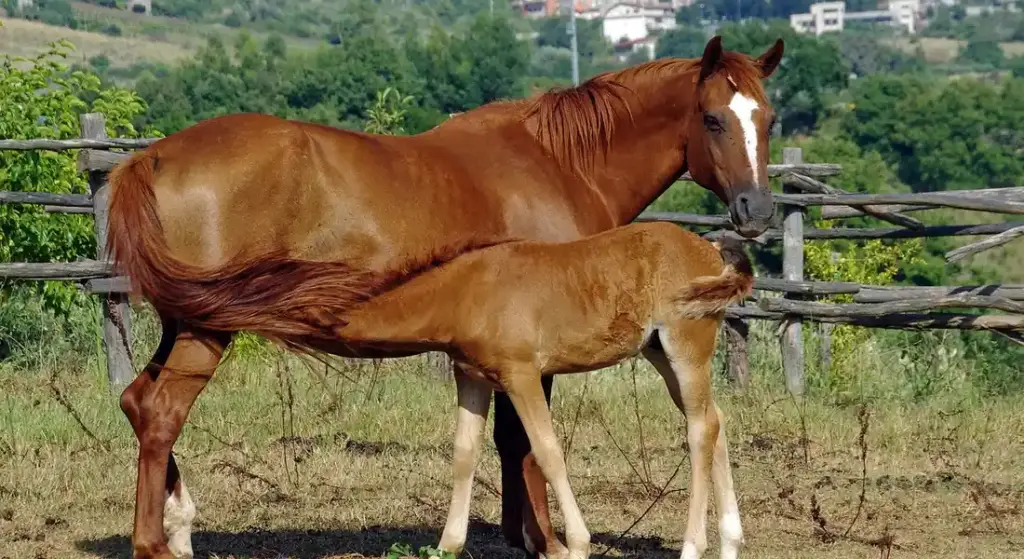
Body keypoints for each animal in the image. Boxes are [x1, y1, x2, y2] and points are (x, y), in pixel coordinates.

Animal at [327, 222, 754, 559]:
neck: (468, 291)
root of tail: (710, 250)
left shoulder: (522, 376)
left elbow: (547, 451)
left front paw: (576, 545)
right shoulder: (471, 377)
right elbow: (464, 453)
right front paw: (447, 546)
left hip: (686, 349)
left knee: (700, 428)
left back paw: (693, 547)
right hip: (659, 353)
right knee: (715, 420)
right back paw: (731, 543)